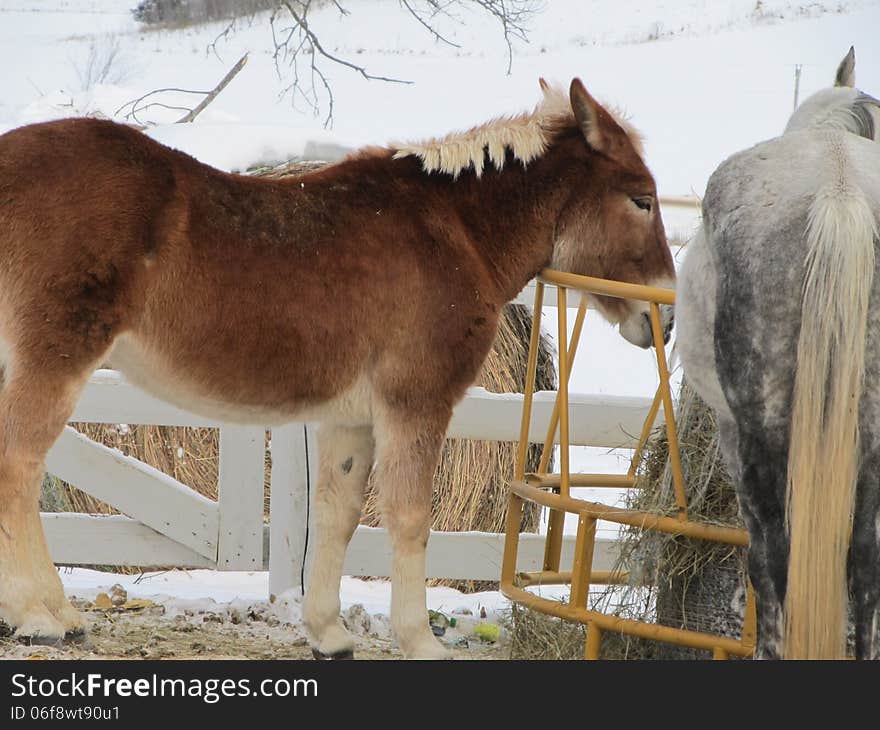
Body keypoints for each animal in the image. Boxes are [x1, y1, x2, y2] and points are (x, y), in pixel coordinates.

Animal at [1, 77, 672, 656]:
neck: (453, 232)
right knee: (19, 467)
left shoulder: (350, 419)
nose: (664, 318)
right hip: (54, 364)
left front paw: (327, 632)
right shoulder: (415, 404)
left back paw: (55, 613)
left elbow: (338, 513)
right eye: (641, 199)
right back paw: (39, 615)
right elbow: (409, 518)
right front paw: (419, 639)